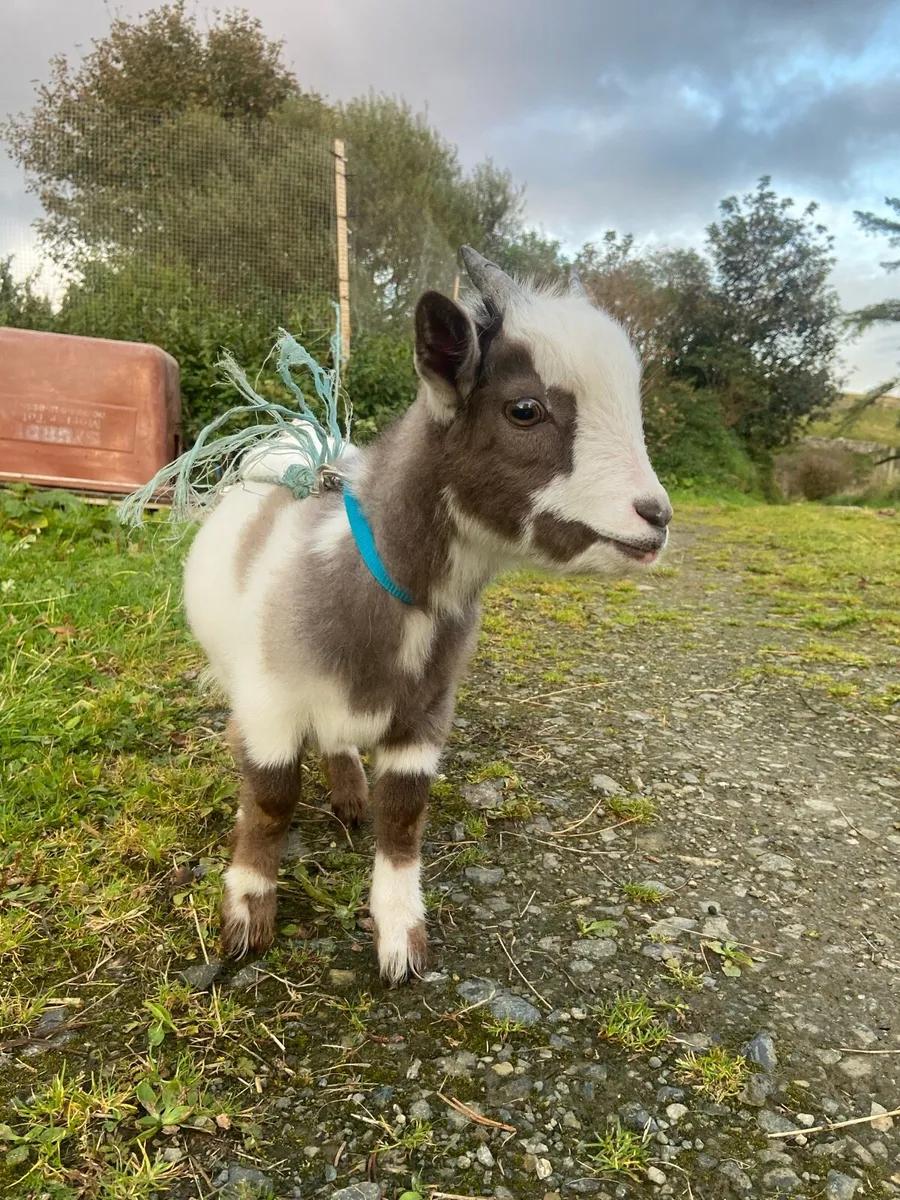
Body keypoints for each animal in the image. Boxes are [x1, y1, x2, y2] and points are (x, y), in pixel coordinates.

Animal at [183, 247, 673, 984]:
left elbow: (404, 815)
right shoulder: (271, 700)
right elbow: (270, 799)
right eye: (524, 408)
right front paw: (246, 914)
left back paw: (350, 792)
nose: (657, 517)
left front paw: (399, 936)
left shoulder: (426, 712)